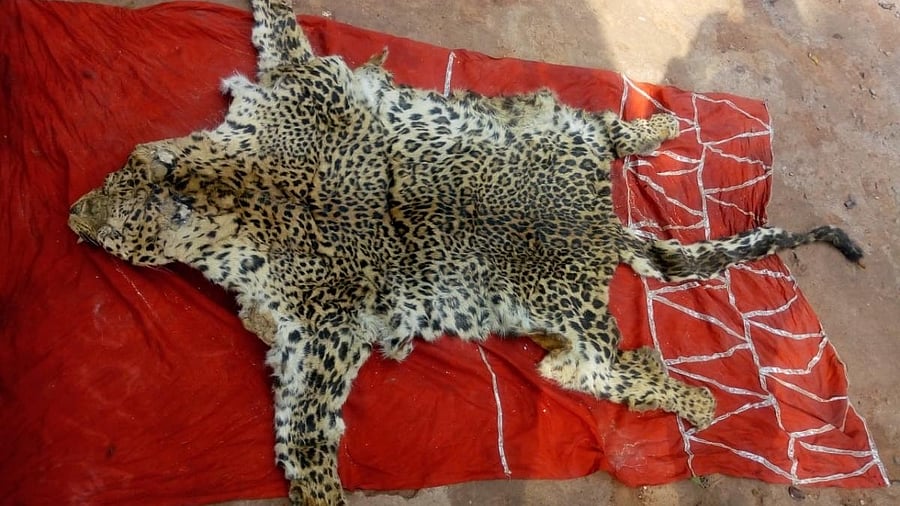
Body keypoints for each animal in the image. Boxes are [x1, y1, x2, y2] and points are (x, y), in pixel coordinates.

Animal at [67, 1, 864, 504]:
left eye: (120, 230)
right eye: (115, 172)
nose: (72, 214)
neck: (232, 185)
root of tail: (601, 228)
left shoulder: (323, 333)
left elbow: (306, 434)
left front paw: (321, 492)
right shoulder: (293, 87)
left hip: (579, 319)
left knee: (615, 369)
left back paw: (696, 396)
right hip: (565, 142)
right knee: (607, 134)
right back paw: (659, 127)